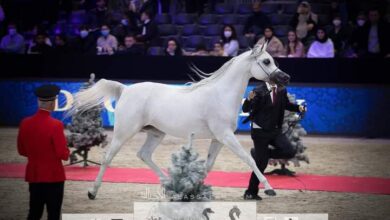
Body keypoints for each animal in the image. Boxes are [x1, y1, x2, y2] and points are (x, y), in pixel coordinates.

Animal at [69, 43, 290, 199]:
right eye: (267, 61)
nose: (285, 78)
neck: (221, 95)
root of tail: (125, 89)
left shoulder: (219, 139)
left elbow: (208, 166)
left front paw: (192, 190)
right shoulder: (225, 136)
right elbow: (249, 159)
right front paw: (270, 189)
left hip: (155, 132)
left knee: (144, 154)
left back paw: (169, 186)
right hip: (124, 132)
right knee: (108, 158)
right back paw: (92, 192)